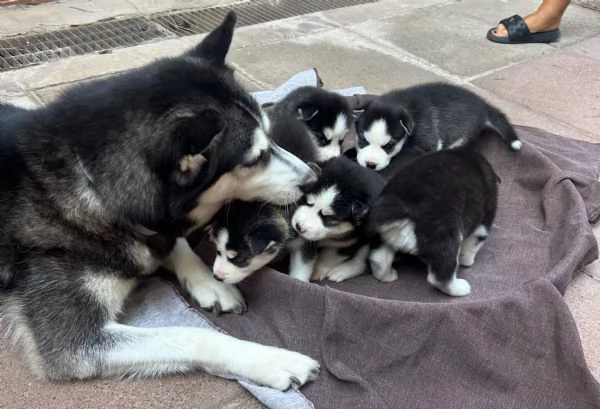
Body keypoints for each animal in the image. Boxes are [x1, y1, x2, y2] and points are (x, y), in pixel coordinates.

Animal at [0, 11, 322, 388]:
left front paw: (208, 281)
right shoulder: (73, 345)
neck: (92, 187)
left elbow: (173, 241)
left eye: (271, 136)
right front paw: (269, 359)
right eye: (255, 158)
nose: (313, 177)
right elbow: (193, 334)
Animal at [354, 82, 524, 171]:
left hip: (461, 134)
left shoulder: (429, 138)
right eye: (362, 140)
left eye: (389, 145)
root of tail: (484, 105)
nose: (370, 164)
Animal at [368, 147, 500, 296]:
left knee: (378, 259)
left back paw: (388, 276)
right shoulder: (483, 221)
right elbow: (472, 245)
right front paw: (467, 261)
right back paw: (460, 288)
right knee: (440, 278)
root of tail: (405, 204)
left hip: (382, 238)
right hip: (447, 238)